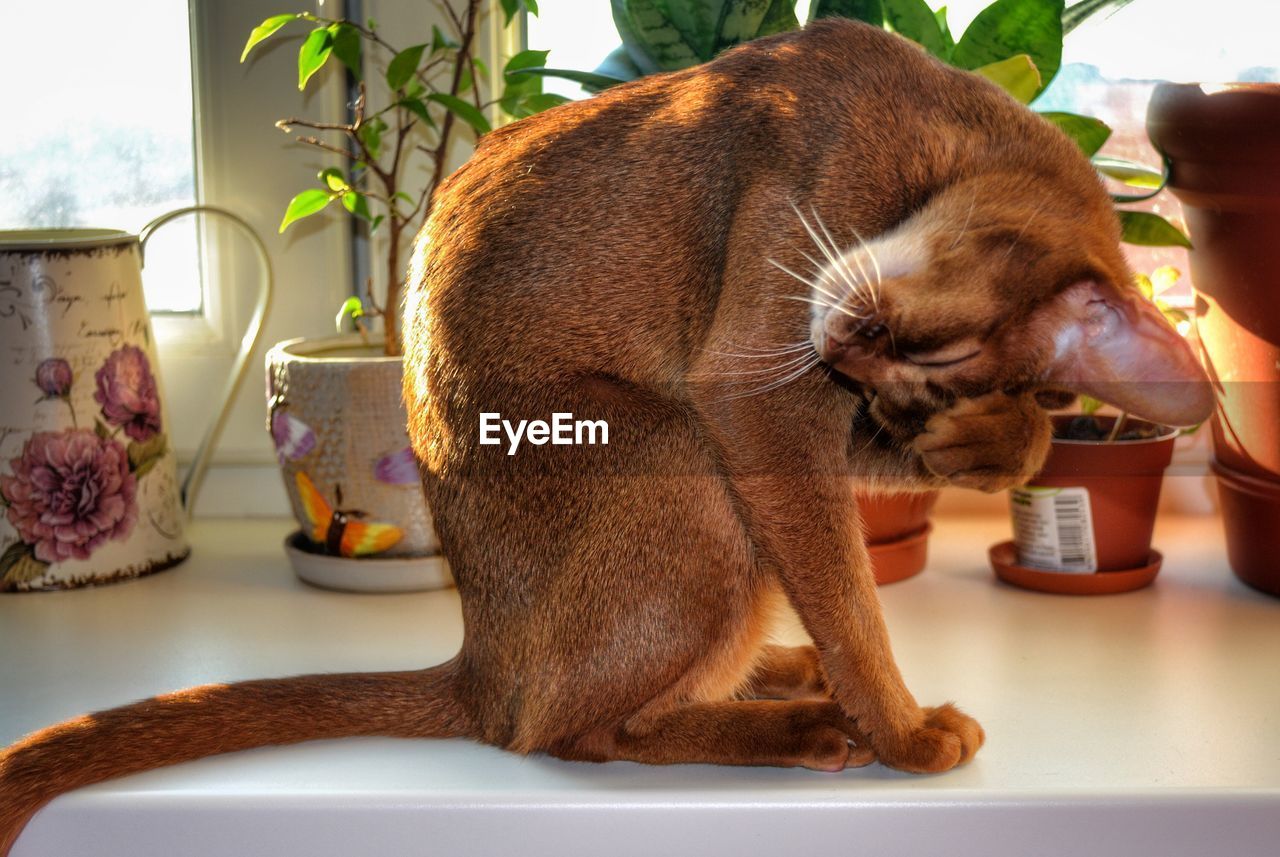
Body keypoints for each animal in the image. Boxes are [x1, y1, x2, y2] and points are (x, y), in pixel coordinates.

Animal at [0, 16, 1208, 854]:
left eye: (919, 385)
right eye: (935, 351)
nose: (854, 353)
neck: (932, 132)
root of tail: (480, 662)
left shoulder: (810, 409)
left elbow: (967, 476)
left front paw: (990, 446)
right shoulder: (750, 392)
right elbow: (854, 605)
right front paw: (904, 734)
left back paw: (776, 670)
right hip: (685, 466)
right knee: (565, 726)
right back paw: (808, 722)